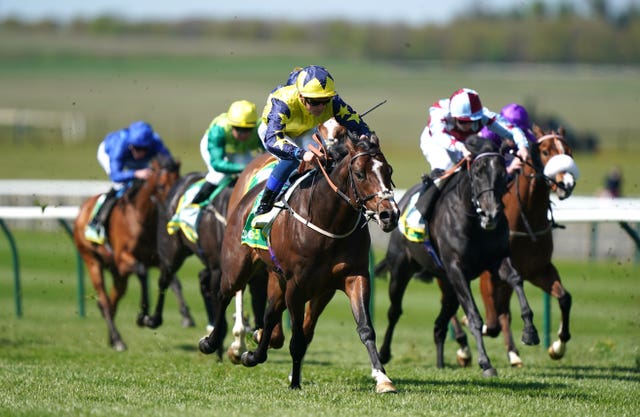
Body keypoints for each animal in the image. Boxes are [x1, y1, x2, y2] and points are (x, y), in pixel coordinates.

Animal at [72, 154, 192, 350]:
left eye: (178, 181)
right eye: (161, 185)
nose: (174, 207)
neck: (143, 219)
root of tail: (82, 210)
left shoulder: (156, 258)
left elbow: (173, 280)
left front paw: (185, 316)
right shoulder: (123, 259)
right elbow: (143, 273)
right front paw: (142, 316)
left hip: (118, 274)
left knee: (112, 300)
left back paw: (113, 339)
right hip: (92, 260)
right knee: (104, 301)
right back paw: (118, 340)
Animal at [200, 128, 400, 392]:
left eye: (389, 171)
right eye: (359, 174)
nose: (390, 215)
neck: (328, 223)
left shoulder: (349, 278)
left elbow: (365, 328)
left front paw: (382, 378)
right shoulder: (296, 286)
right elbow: (297, 338)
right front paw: (295, 382)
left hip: (278, 278)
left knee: (270, 314)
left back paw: (253, 354)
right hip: (238, 265)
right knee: (225, 294)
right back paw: (212, 342)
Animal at [376, 136, 540, 376]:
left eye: (502, 172)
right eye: (478, 172)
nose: (491, 214)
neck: (473, 222)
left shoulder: (497, 259)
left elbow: (516, 279)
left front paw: (530, 331)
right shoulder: (457, 269)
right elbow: (473, 316)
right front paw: (485, 363)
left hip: (448, 284)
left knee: (439, 324)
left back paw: (440, 364)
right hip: (401, 270)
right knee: (394, 311)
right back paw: (384, 353)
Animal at [476, 125, 580, 366]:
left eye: (569, 151)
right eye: (545, 151)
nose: (567, 184)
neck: (525, 221)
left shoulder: (538, 270)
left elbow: (565, 298)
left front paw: (557, 347)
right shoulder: (488, 274)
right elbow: (491, 323)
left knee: (504, 312)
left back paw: (513, 354)